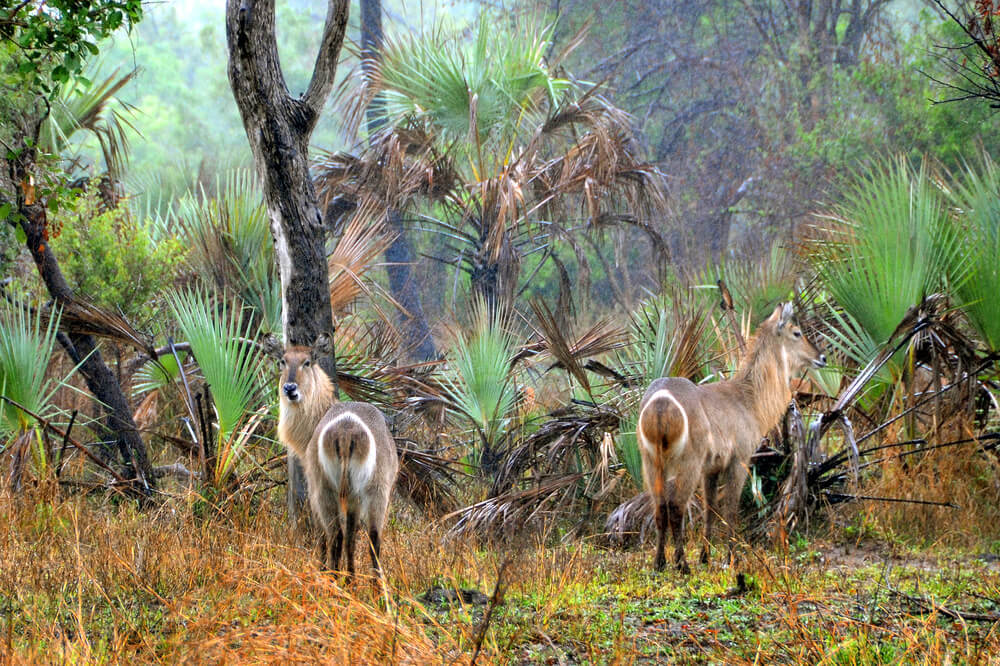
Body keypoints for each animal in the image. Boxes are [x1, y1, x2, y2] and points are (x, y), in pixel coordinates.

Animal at [276, 338, 400, 576]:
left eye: (307, 362)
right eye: (282, 361)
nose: (289, 388)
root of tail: (346, 429)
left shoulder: (314, 490)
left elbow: (322, 536)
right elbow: (353, 537)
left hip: (327, 489)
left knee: (335, 534)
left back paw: (332, 577)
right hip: (374, 490)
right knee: (371, 538)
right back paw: (371, 584)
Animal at [640, 300, 828, 572]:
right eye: (797, 332)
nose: (822, 357)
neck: (748, 399)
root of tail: (660, 402)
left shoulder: (711, 468)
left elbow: (711, 509)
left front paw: (706, 556)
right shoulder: (739, 459)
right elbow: (730, 510)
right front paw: (731, 558)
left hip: (652, 461)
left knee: (659, 508)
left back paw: (659, 562)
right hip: (687, 463)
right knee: (675, 507)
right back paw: (682, 564)